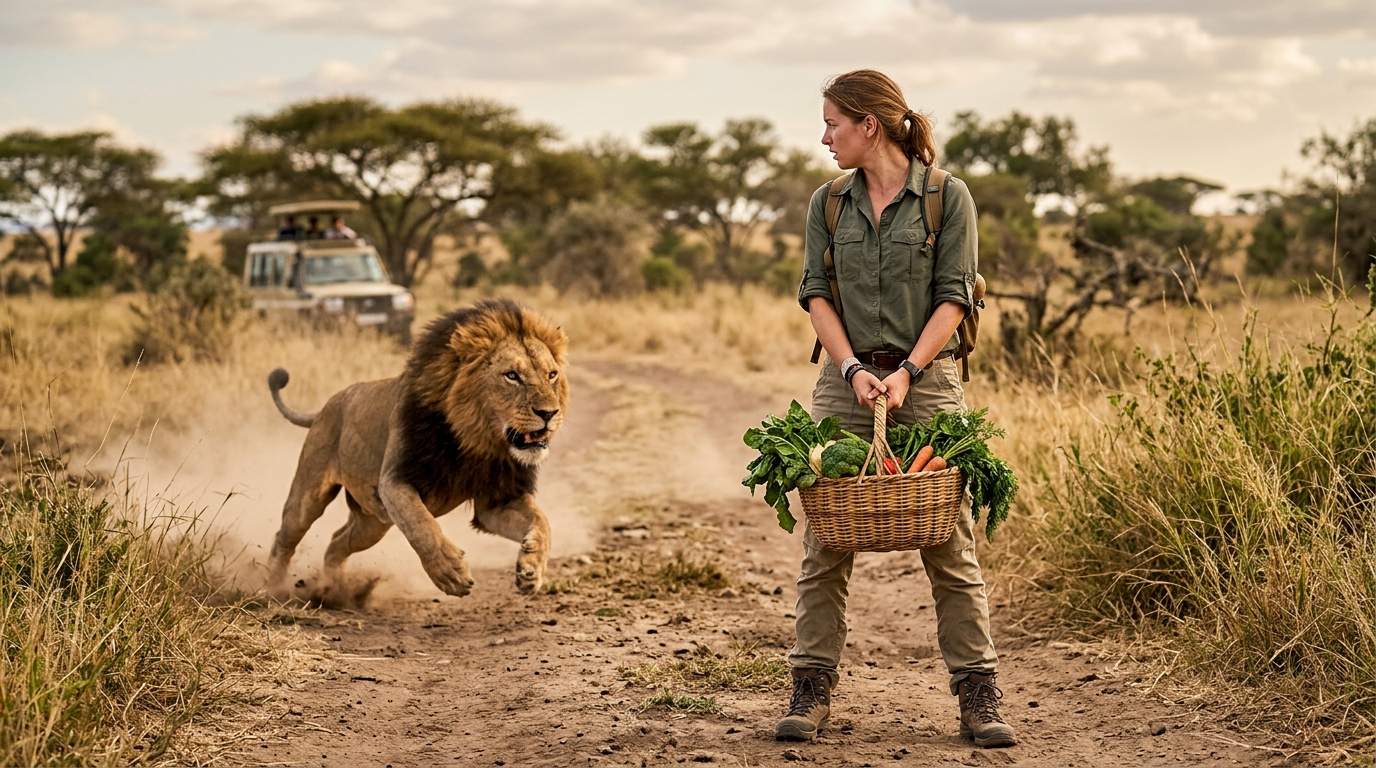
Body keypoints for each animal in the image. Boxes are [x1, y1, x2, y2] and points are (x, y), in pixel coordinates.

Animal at [265, 299, 569, 599]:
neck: (476, 441)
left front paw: (532, 569)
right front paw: (451, 572)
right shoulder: (394, 481)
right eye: (512, 376)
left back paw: (334, 590)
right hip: (310, 497)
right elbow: (420, 523)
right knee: (285, 537)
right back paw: (273, 588)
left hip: (372, 523)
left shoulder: (498, 500)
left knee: (337, 542)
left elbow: (543, 523)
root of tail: (325, 406)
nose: (550, 413)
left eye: (552, 375)